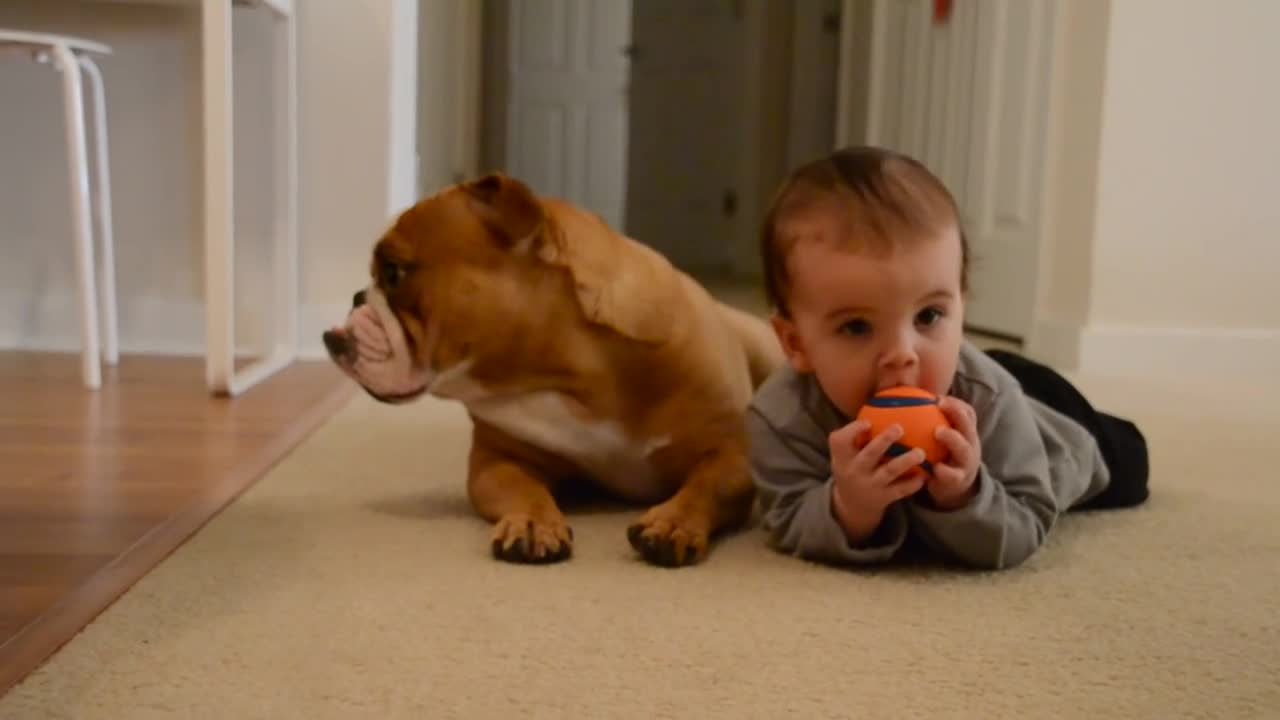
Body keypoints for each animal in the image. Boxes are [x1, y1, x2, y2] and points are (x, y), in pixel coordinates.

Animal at [322, 172, 778, 566]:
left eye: (393, 272)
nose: (354, 299)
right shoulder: (497, 462)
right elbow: (522, 490)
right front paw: (531, 523)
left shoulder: (730, 454)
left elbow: (710, 484)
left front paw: (672, 522)